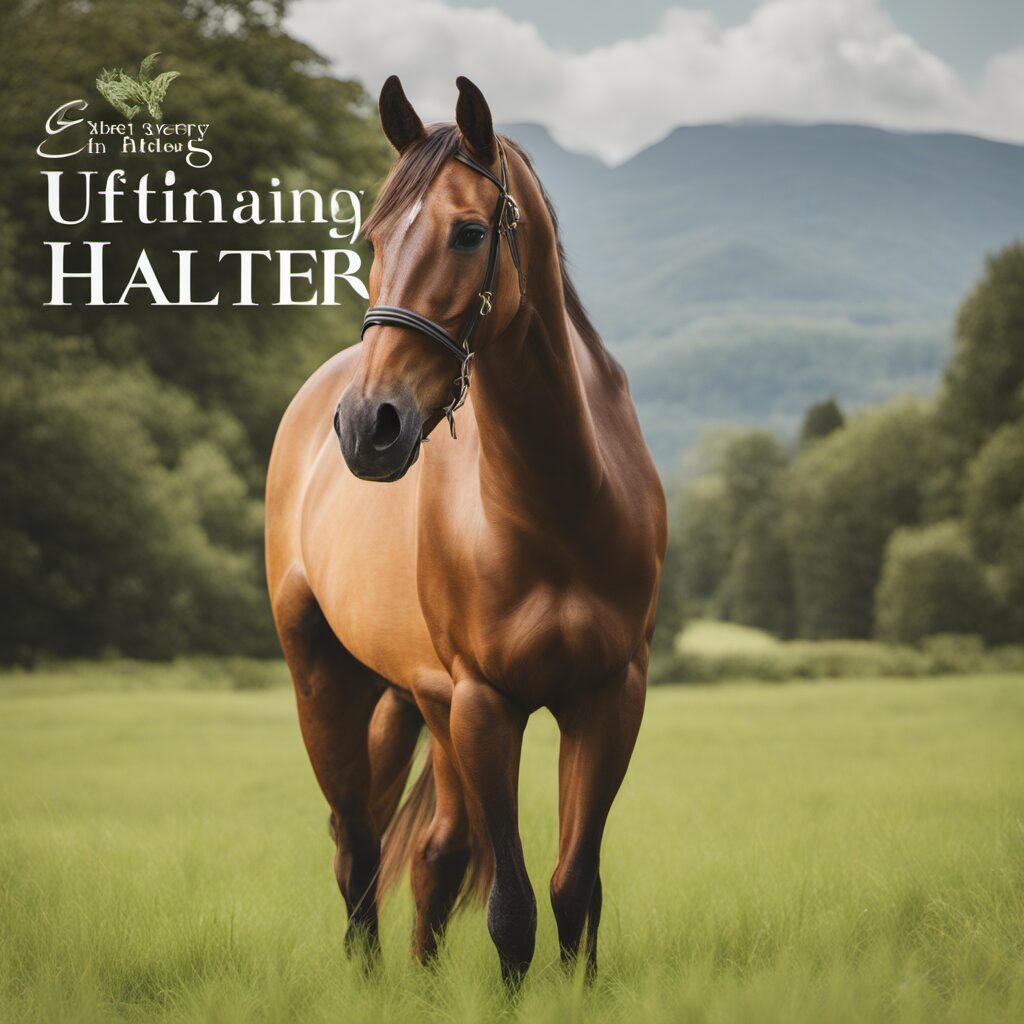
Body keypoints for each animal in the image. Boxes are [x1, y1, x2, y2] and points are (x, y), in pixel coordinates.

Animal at [265, 75, 666, 985]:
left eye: (470, 231)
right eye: (372, 238)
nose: (368, 426)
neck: (558, 505)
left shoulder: (608, 697)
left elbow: (572, 891)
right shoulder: (487, 705)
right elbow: (512, 913)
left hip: (420, 699)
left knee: (433, 852)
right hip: (327, 680)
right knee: (358, 846)